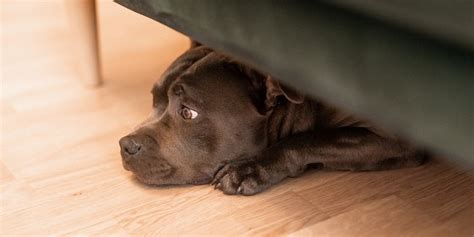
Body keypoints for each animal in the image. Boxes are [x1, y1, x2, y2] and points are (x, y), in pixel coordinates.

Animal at [119, 43, 426, 195]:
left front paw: (249, 169)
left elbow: (312, 139)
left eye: (188, 112)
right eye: (155, 100)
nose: (125, 145)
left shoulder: (394, 138)